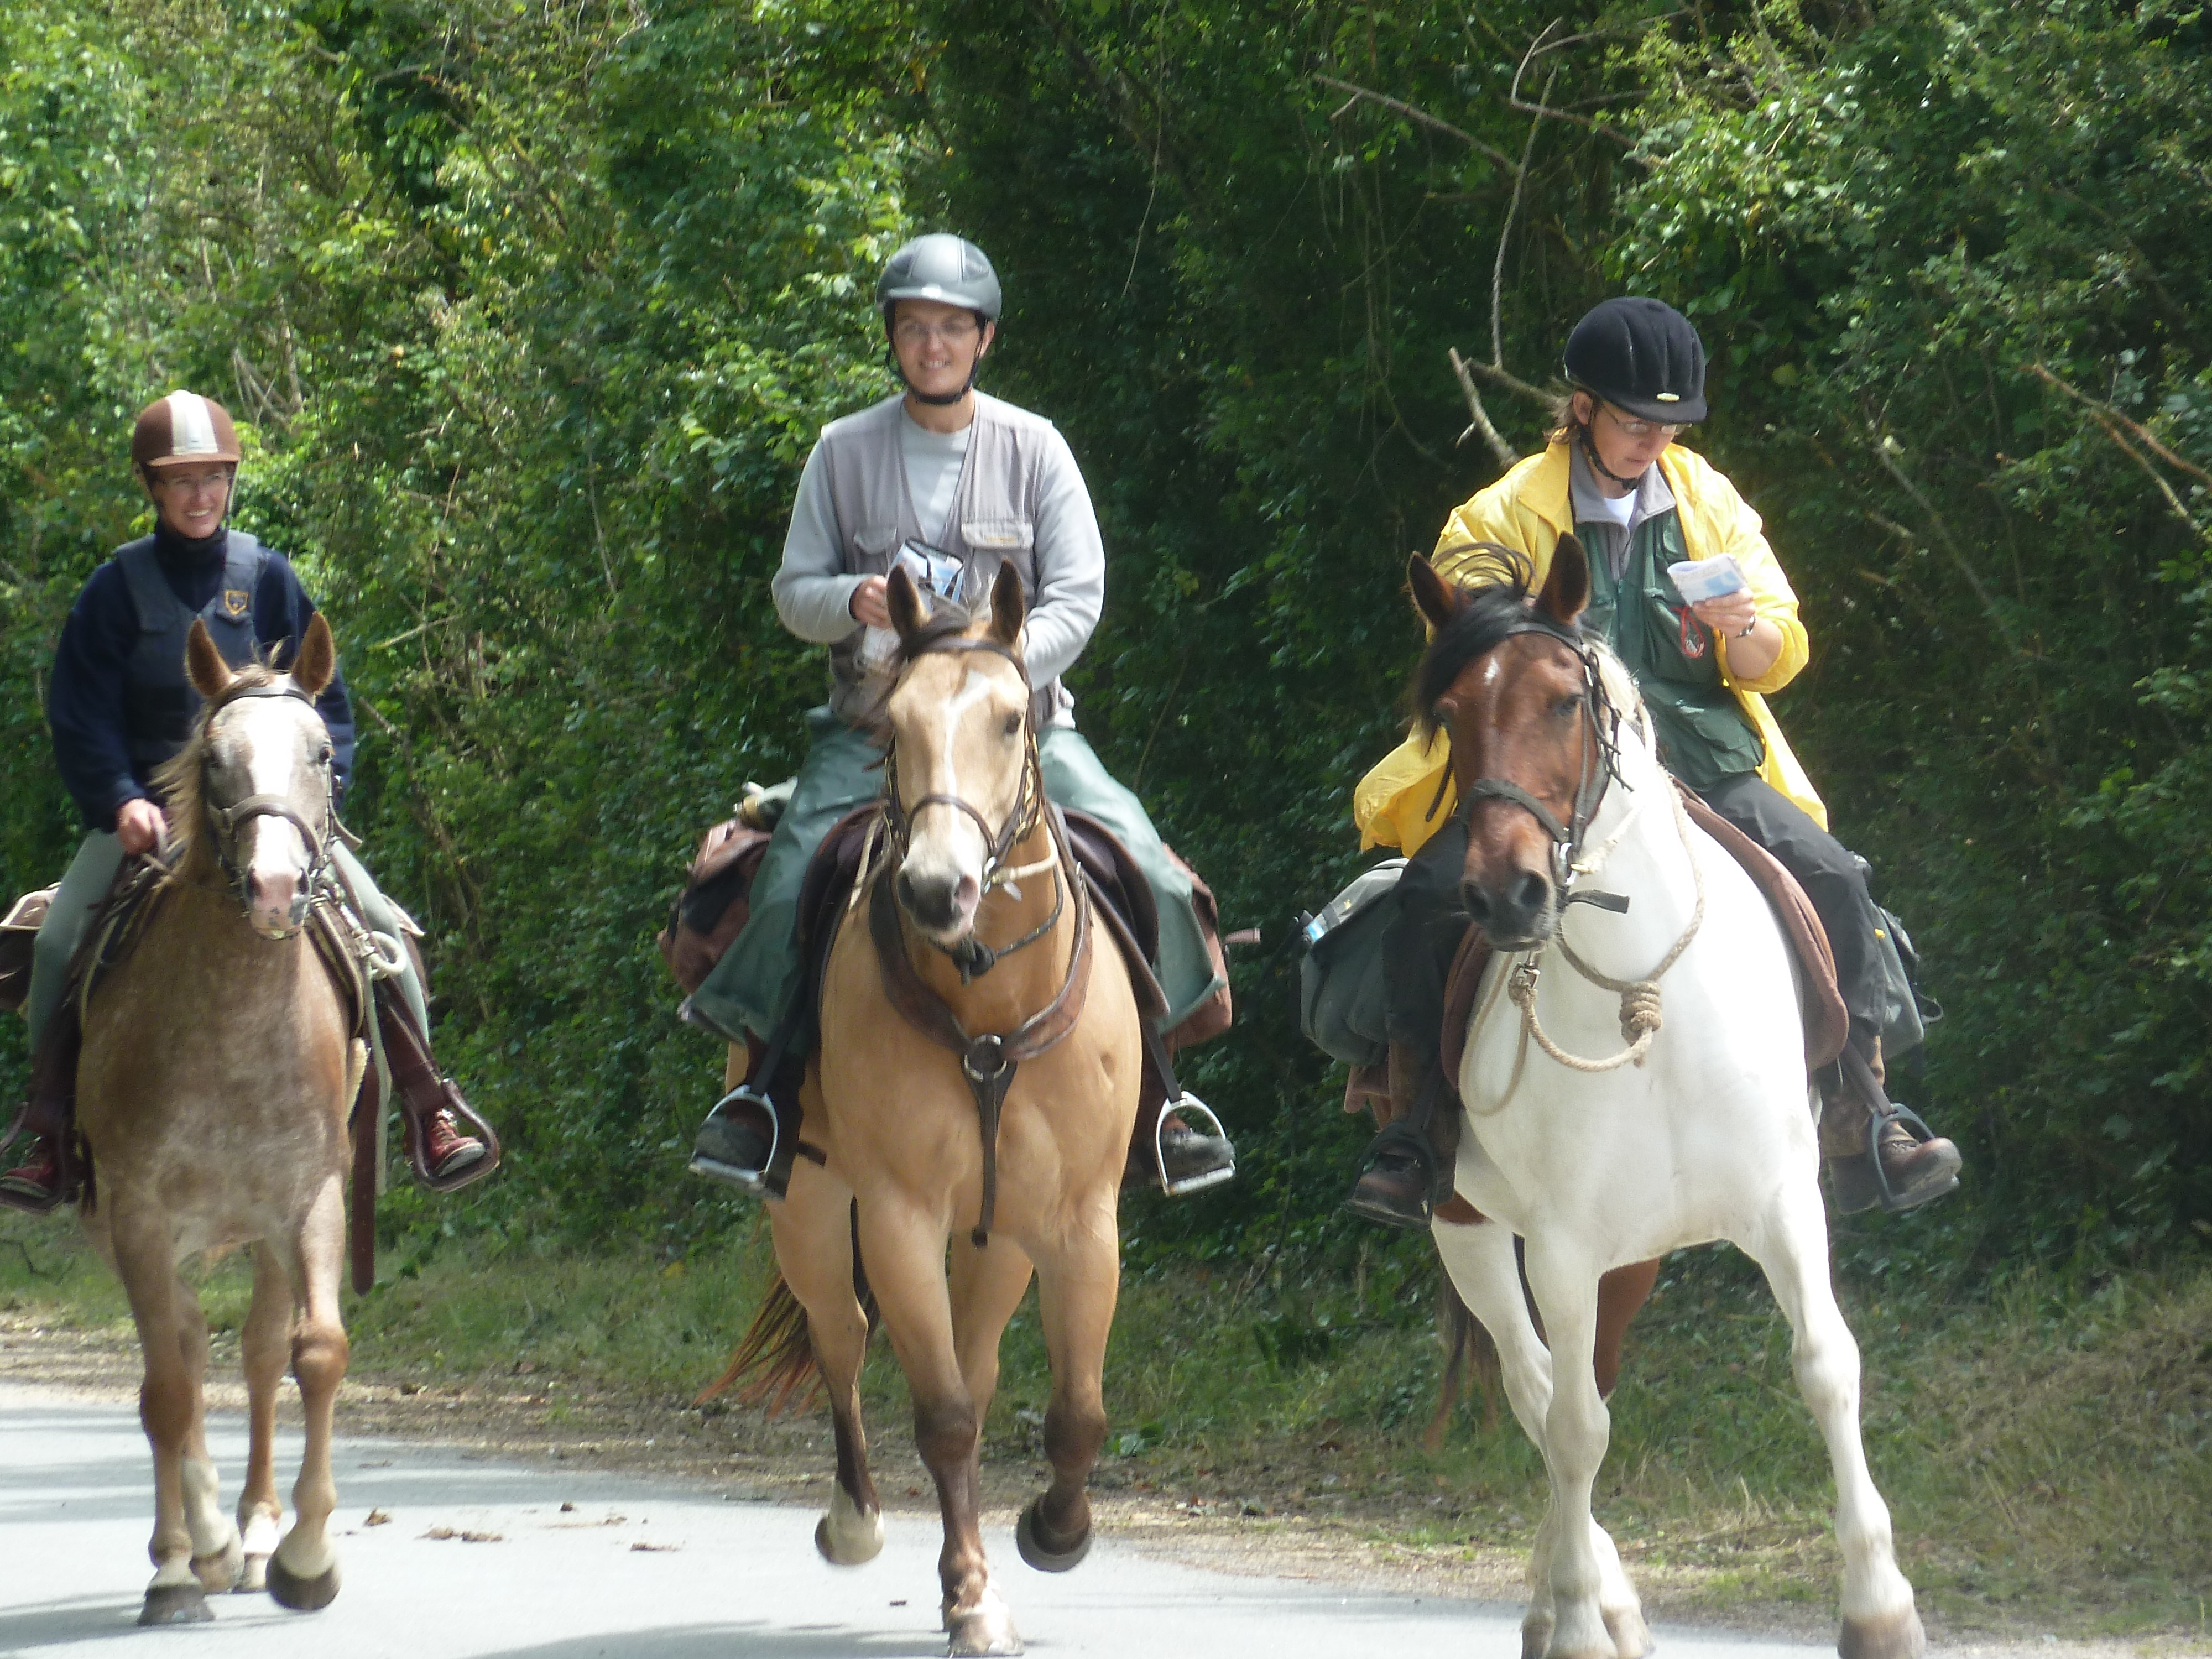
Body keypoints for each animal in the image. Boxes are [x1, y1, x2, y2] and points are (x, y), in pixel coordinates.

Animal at [74, 612, 361, 1624]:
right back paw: (194, 1544)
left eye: (322, 753)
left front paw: (306, 1557)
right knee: (185, 1360)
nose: (274, 888)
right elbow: (166, 1391)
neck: (236, 1026)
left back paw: (256, 1533)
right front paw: (175, 1569)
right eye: (214, 759)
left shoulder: (310, 1202)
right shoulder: (140, 1219)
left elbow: (316, 1353)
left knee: (257, 1353)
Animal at [707, 560, 1141, 1657]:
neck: (986, 1007)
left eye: (1009, 718)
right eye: (894, 723)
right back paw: (856, 1519)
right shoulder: (898, 1216)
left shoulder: (1078, 1223)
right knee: (843, 1336)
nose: (939, 890)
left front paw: (1054, 1533)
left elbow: (1074, 1412)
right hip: (810, 1213)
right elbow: (940, 1414)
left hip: (998, 1240)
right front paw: (972, 1598)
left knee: (976, 1367)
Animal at [1409, 539, 1924, 1659]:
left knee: (1580, 1385)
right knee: (1541, 1392)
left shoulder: (1783, 1203)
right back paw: (1578, 1602)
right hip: (1470, 1229)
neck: (1647, 994)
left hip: (1632, 1260)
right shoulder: (1560, 1246)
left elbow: (1827, 1365)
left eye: (1565, 700)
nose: (1505, 894)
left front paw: (1879, 1607)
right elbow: (1571, 1428)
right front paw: (1578, 1621)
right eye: (1450, 715)